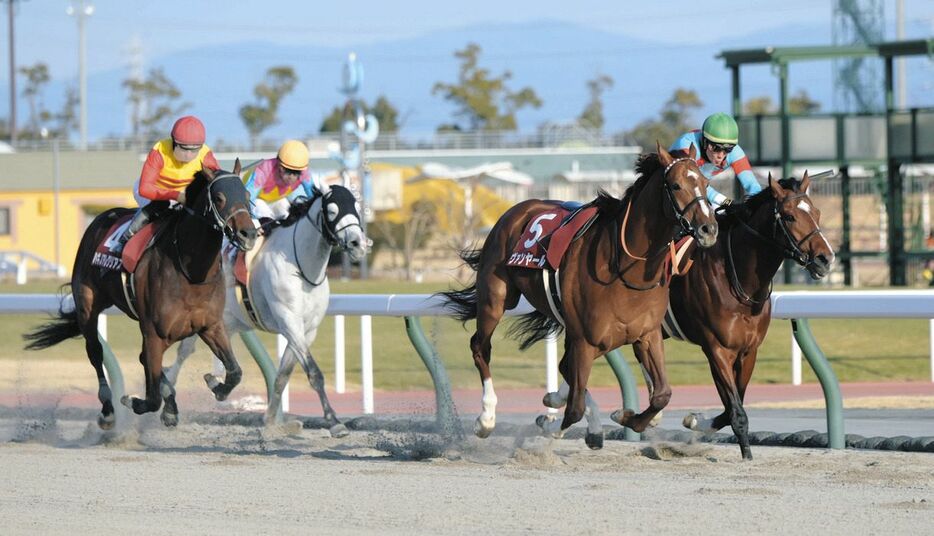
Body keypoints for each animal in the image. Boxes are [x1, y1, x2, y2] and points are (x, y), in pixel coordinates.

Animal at [24, 161, 258, 430]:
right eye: (219, 198)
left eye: (247, 196)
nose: (248, 234)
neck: (191, 273)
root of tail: (100, 219)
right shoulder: (155, 332)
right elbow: (152, 397)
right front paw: (134, 401)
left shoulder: (210, 326)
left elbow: (235, 372)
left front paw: (214, 384)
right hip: (87, 306)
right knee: (96, 352)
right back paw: (108, 410)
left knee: (143, 359)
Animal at [163, 182, 368, 438]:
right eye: (332, 210)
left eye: (356, 206)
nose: (358, 244)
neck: (301, 268)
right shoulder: (289, 322)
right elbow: (314, 374)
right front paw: (333, 421)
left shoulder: (307, 330)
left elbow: (282, 376)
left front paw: (271, 419)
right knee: (182, 354)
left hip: (228, 322)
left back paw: (216, 385)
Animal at [442, 144, 720, 442]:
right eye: (676, 185)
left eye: (706, 183)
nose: (708, 229)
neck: (624, 269)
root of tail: (516, 209)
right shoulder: (586, 340)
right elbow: (573, 409)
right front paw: (550, 424)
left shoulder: (646, 335)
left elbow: (662, 395)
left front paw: (625, 416)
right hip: (495, 298)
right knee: (480, 346)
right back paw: (486, 418)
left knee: (565, 367)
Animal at [668, 171, 836, 456]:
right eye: (789, 216)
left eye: (817, 212)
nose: (825, 259)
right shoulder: (716, 349)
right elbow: (737, 413)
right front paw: (746, 454)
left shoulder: (748, 350)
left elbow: (731, 408)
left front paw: (695, 422)